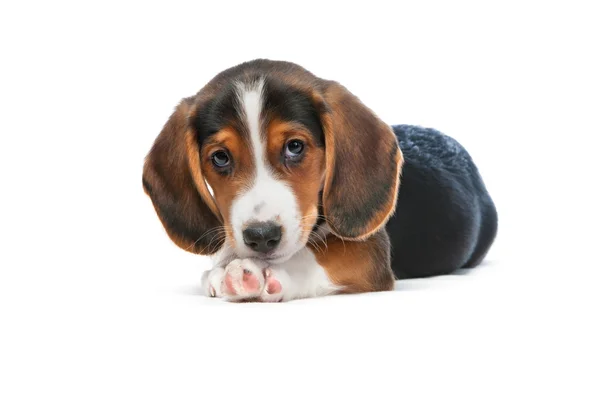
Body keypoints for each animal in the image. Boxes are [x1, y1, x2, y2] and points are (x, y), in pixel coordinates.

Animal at [142, 59, 496, 302]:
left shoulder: (369, 254)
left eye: (295, 147)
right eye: (220, 157)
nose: (261, 237)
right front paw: (226, 265)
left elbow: (317, 257)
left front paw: (264, 273)